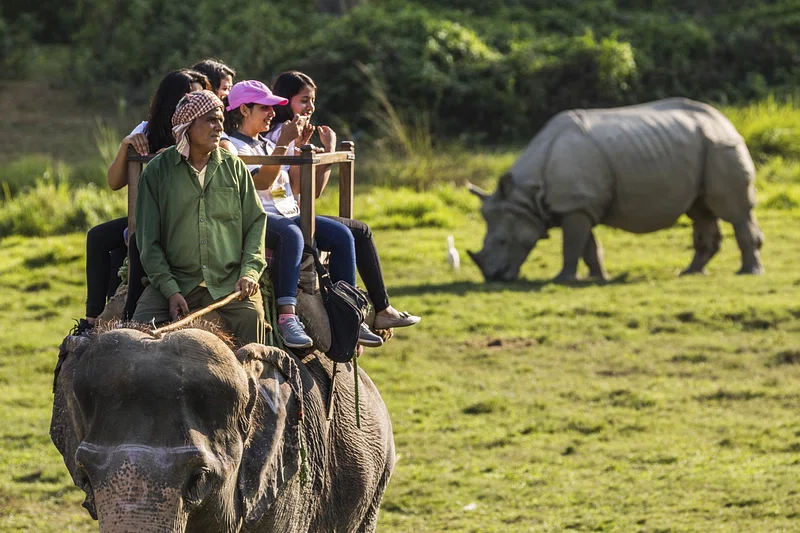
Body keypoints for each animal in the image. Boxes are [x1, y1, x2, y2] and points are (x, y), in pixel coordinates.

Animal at [468, 96, 764, 282]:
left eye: (503, 241)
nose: (492, 277)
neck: (527, 196)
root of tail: (724, 119)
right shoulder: (579, 205)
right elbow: (587, 246)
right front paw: (597, 277)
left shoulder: (575, 205)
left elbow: (571, 244)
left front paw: (562, 279)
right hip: (702, 146)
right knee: (700, 210)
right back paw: (690, 273)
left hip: (721, 146)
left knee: (735, 212)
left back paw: (748, 273)